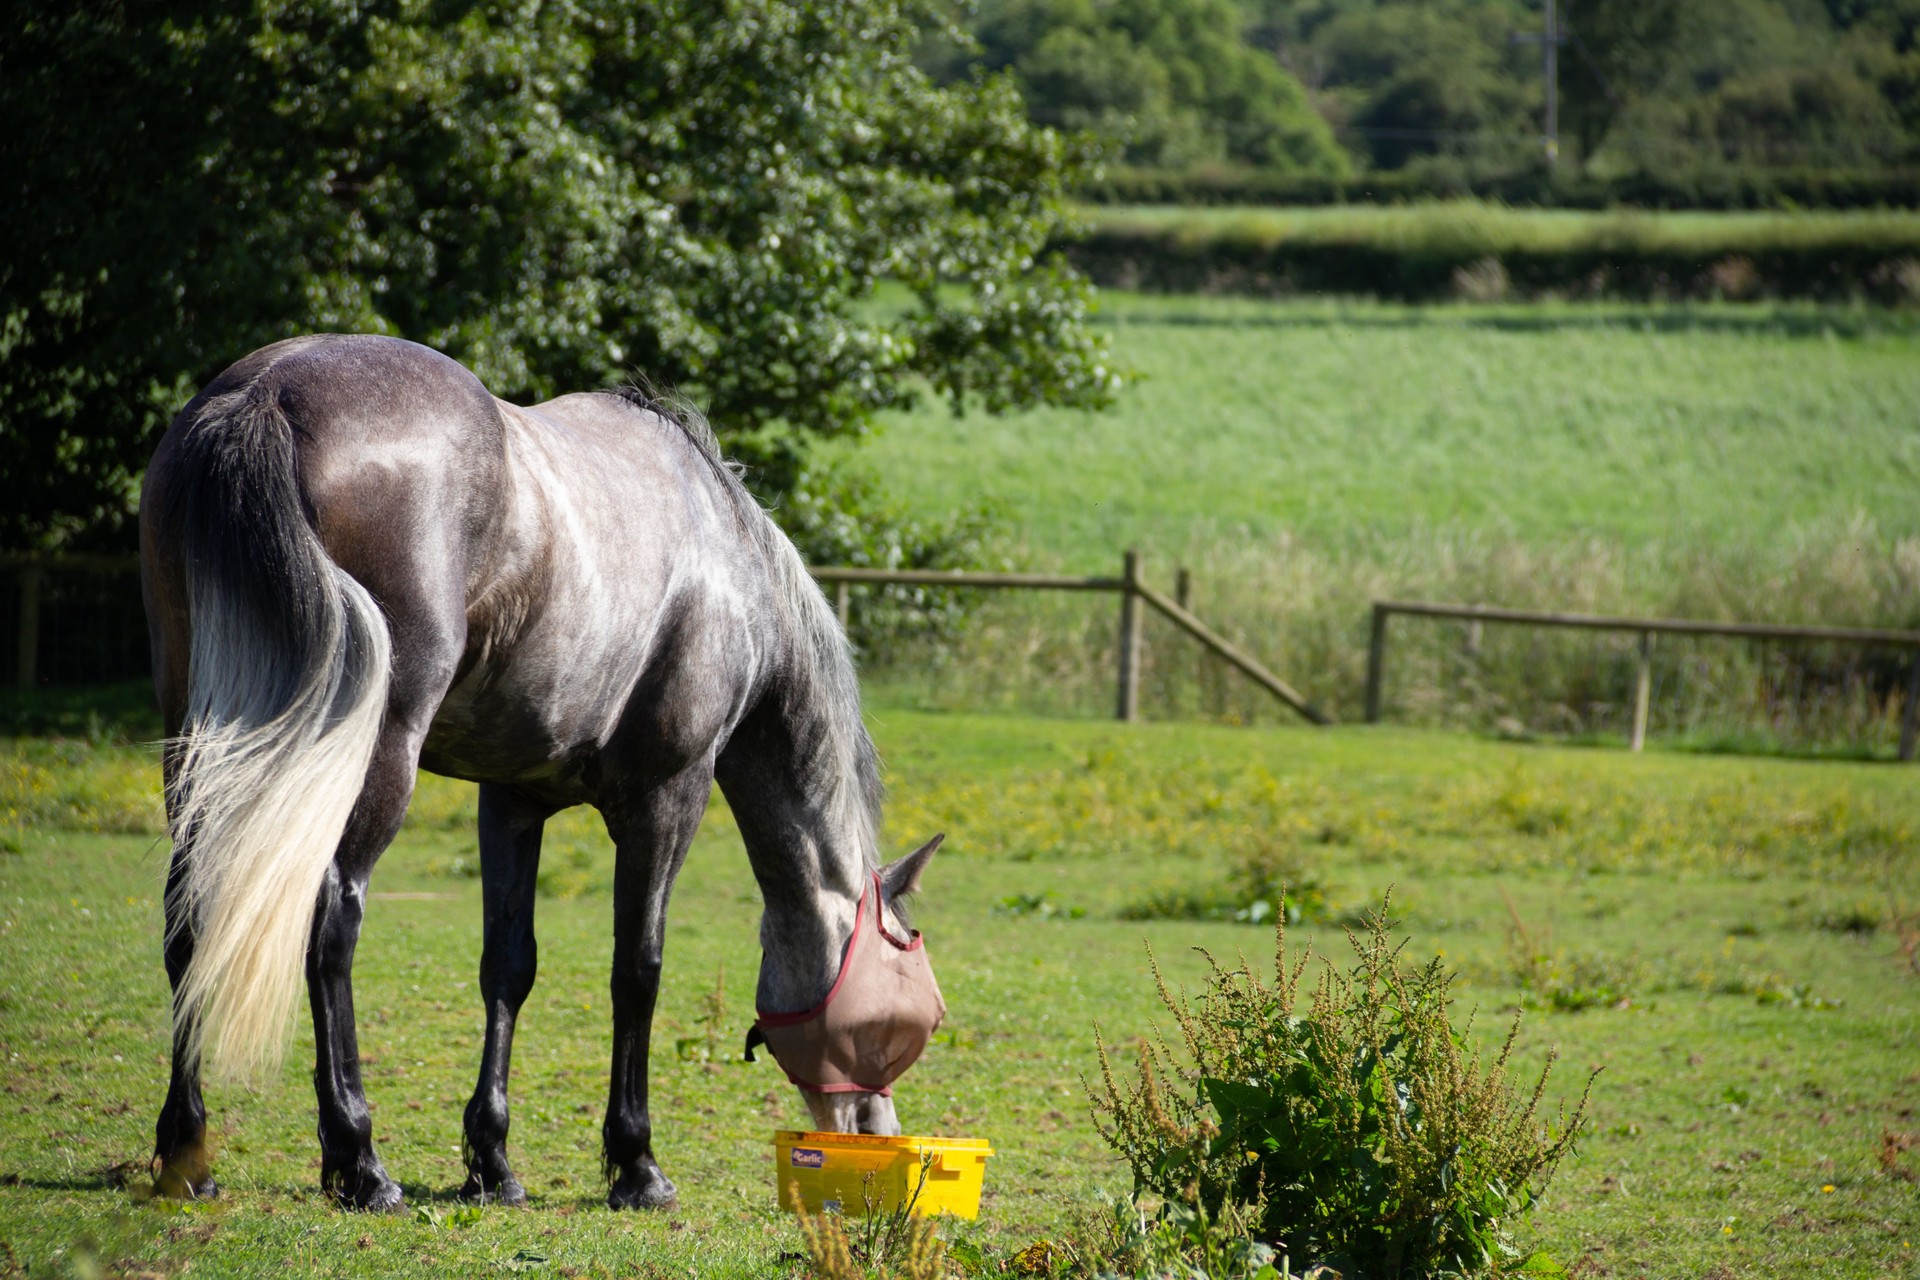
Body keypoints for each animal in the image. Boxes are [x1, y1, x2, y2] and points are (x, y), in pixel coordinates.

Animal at [137, 330, 944, 1212]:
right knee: (330, 919)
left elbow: (508, 966)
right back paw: (360, 1161)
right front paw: (636, 1165)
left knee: (187, 919)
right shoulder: (669, 795)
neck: (726, 564)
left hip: (197, 737)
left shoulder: (512, 800)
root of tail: (269, 394)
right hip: (372, 754)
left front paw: (492, 1162)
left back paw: (187, 1152)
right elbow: (638, 968)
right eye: (909, 1010)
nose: (877, 1128)